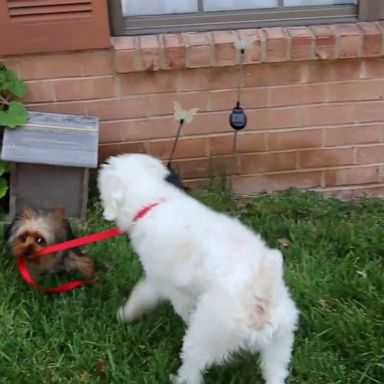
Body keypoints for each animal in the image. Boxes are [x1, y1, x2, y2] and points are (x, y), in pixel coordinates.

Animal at [97, 153, 298, 384]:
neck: (155, 201)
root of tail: (260, 296)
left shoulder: (162, 282)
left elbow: (142, 295)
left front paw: (124, 315)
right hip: (280, 341)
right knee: (276, 371)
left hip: (206, 335)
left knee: (193, 368)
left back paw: (179, 378)